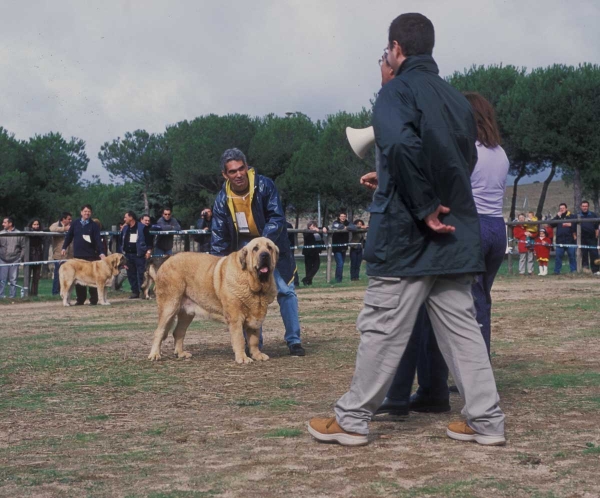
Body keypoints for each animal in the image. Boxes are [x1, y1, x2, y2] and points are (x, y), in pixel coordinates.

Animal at [150, 235, 282, 364]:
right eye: (255, 248)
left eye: (269, 248)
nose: (265, 255)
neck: (253, 284)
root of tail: (166, 262)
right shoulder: (235, 318)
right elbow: (239, 339)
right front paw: (242, 358)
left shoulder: (256, 317)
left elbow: (254, 339)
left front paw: (257, 355)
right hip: (169, 307)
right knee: (159, 332)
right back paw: (155, 355)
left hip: (187, 313)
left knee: (178, 331)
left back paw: (181, 353)